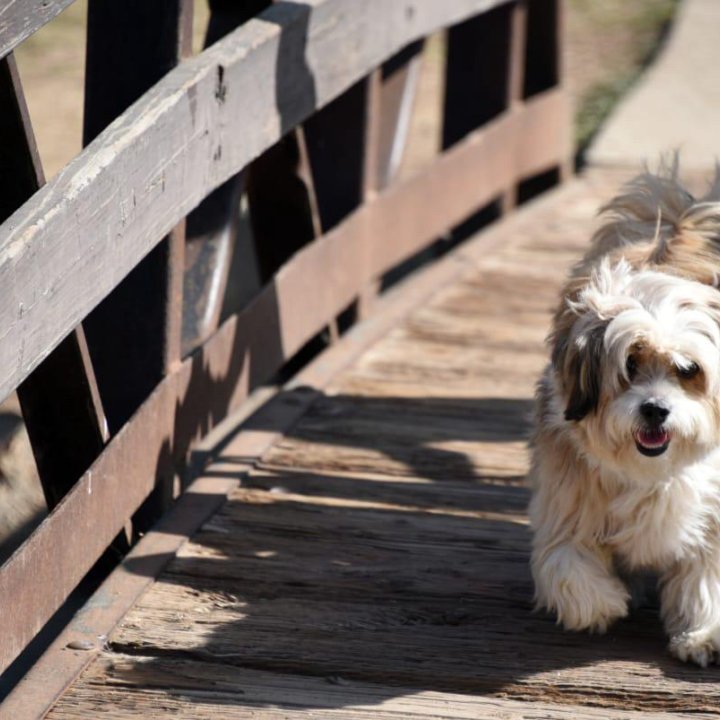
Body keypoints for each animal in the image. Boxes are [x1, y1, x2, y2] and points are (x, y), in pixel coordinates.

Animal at [532, 160, 720, 668]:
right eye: (630, 365)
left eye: (688, 370)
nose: (655, 409)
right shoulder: (568, 498)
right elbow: (569, 564)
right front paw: (606, 602)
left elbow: (706, 575)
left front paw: (702, 634)